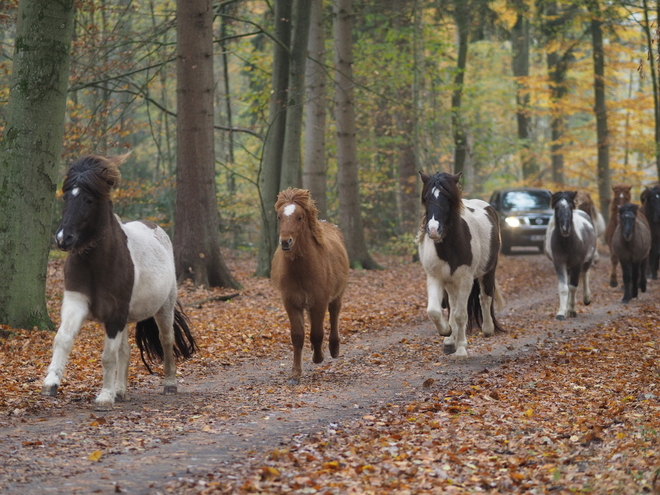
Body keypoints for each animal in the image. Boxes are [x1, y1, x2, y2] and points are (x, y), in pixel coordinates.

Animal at [40, 155, 196, 410]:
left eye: (89, 199)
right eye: (66, 197)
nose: (64, 239)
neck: (96, 263)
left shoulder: (114, 316)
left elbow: (107, 356)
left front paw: (104, 396)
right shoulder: (77, 304)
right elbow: (63, 339)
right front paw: (51, 383)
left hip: (164, 307)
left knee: (166, 340)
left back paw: (169, 384)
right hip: (126, 318)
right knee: (126, 349)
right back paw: (121, 391)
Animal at [270, 188, 350, 386]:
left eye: (299, 217)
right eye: (279, 217)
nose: (286, 242)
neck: (301, 270)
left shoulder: (319, 302)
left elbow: (317, 333)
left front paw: (318, 357)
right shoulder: (291, 303)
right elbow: (298, 336)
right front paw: (295, 374)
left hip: (336, 296)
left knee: (334, 314)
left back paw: (333, 348)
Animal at [418, 172, 506, 358]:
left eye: (448, 198)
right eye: (426, 198)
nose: (434, 230)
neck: (449, 247)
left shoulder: (465, 279)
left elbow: (461, 315)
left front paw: (461, 349)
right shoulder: (435, 277)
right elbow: (434, 311)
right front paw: (446, 333)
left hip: (488, 271)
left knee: (485, 297)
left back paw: (488, 328)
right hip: (450, 282)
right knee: (452, 304)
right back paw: (450, 340)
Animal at [540, 190, 600, 322]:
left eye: (570, 208)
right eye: (557, 208)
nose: (565, 229)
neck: (566, 243)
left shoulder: (576, 263)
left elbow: (573, 286)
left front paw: (572, 310)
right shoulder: (559, 263)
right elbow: (564, 287)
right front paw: (562, 312)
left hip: (587, 260)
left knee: (585, 274)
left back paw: (586, 299)